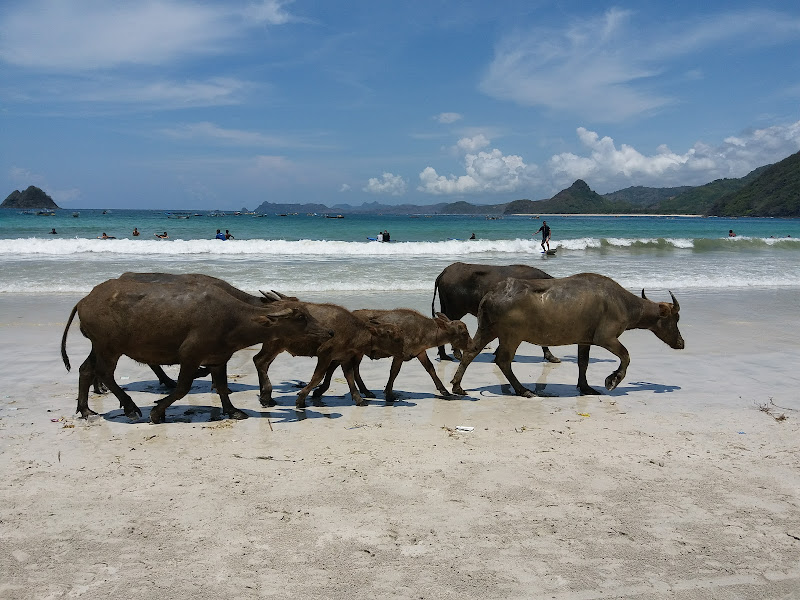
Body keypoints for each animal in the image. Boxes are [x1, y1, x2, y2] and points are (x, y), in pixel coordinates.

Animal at [61, 278, 332, 424]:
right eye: (300, 317)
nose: (328, 333)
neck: (233, 319)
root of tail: (85, 300)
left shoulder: (218, 359)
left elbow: (222, 387)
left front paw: (233, 411)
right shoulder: (190, 357)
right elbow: (182, 388)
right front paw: (157, 412)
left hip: (99, 347)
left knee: (86, 369)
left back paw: (86, 410)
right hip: (109, 348)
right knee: (105, 373)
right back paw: (130, 408)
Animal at [310, 312, 468, 400]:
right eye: (463, 332)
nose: (470, 345)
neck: (424, 331)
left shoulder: (420, 352)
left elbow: (430, 369)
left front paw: (444, 390)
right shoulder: (400, 355)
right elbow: (394, 372)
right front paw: (389, 394)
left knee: (350, 368)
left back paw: (365, 391)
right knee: (337, 365)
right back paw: (321, 390)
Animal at [446, 274, 684, 398]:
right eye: (676, 318)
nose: (681, 343)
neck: (623, 303)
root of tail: (491, 294)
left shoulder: (584, 340)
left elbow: (583, 362)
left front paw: (586, 387)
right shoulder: (606, 338)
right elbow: (626, 355)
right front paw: (612, 380)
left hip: (487, 330)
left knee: (470, 353)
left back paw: (457, 386)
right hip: (511, 336)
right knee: (503, 360)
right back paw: (524, 390)